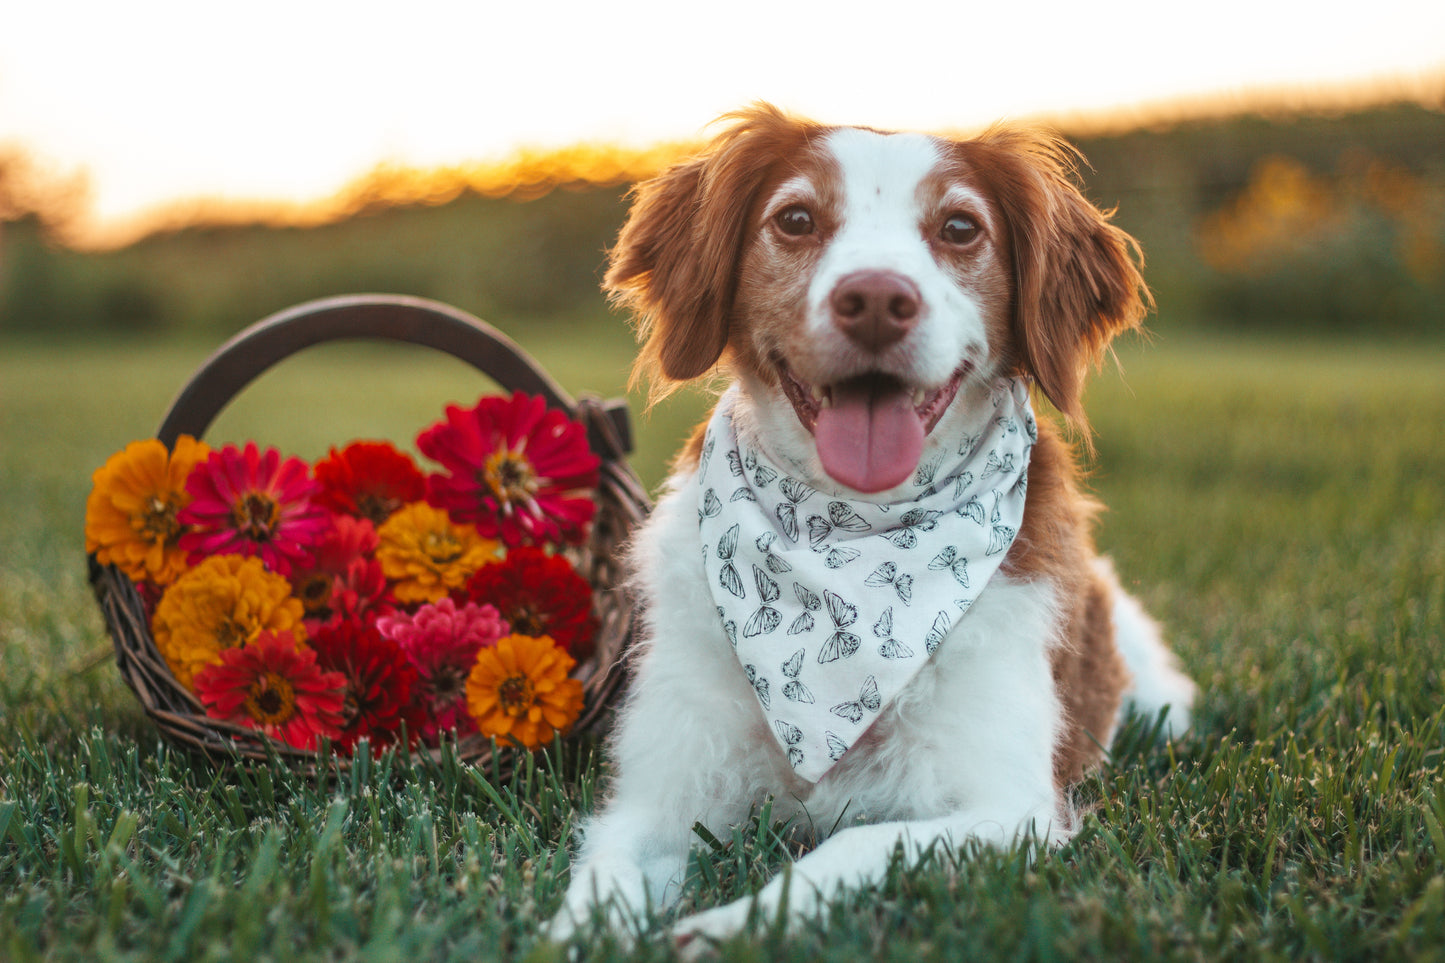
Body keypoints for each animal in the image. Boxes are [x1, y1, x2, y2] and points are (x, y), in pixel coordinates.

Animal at [546, 101, 1190, 942]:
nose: (878, 298)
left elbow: (849, 846)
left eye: (959, 227)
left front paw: (728, 928)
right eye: (794, 218)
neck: (850, 534)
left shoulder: (1007, 812)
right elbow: (601, 880)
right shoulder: (658, 794)